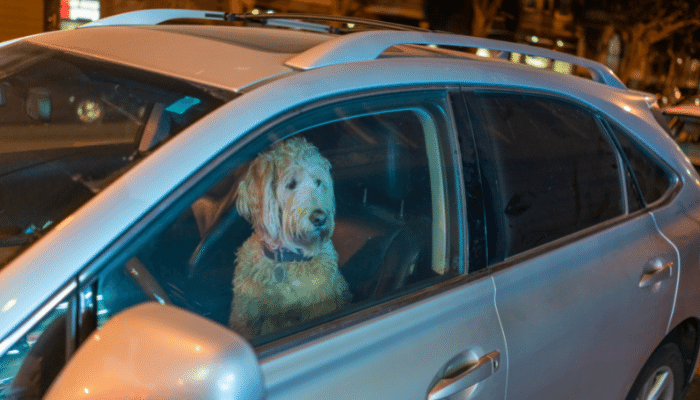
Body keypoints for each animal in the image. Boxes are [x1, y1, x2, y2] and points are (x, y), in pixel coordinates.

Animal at [228, 137, 350, 338]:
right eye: (291, 184)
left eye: (318, 182)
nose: (320, 218)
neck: (286, 259)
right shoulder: (245, 313)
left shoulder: (321, 303)